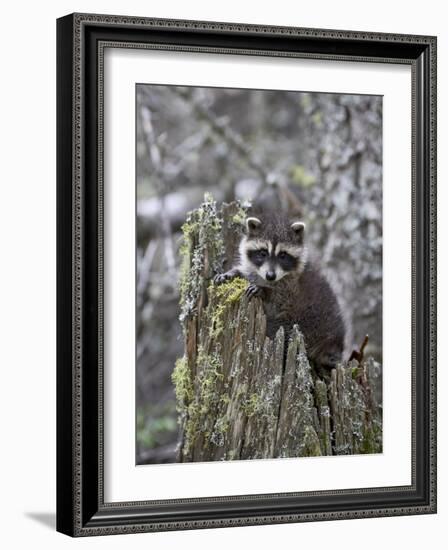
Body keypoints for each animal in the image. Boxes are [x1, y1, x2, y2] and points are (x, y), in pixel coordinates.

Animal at [215, 212, 344, 370]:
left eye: (283, 255)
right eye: (263, 253)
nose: (270, 276)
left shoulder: (291, 288)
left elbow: (278, 300)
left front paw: (264, 291)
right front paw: (232, 273)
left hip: (309, 322)